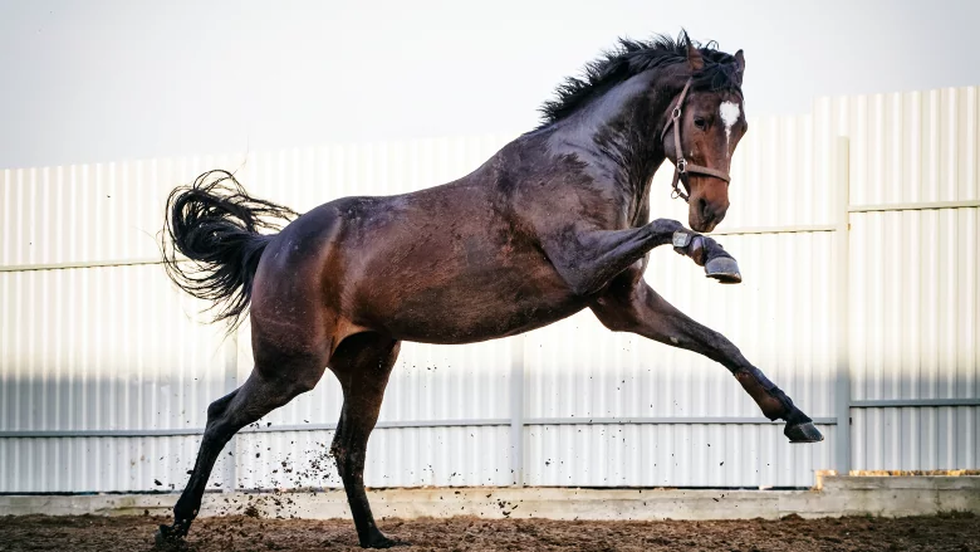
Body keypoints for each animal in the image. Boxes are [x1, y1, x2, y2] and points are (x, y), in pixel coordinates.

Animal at [155, 32, 823, 549]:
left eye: (742, 125)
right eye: (703, 118)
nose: (713, 210)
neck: (588, 158)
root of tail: (271, 247)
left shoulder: (622, 304)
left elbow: (721, 344)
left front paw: (796, 420)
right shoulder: (585, 265)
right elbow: (663, 228)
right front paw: (711, 253)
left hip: (367, 362)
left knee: (347, 447)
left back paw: (376, 538)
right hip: (291, 367)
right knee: (221, 417)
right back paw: (175, 527)